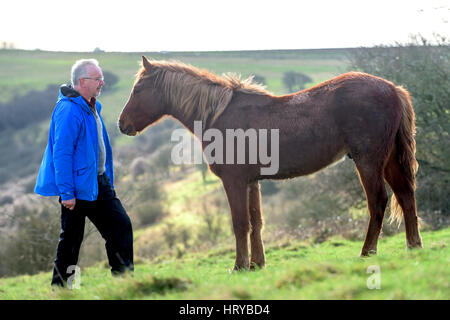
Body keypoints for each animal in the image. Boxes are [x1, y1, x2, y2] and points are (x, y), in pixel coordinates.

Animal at [118, 56, 422, 268]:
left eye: (138, 89)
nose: (123, 124)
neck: (218, 115)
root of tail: (393, 89)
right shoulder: (252, 182)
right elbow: (256, 222)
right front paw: (257, 263)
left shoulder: (234, 182)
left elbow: (240, 223)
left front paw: (239, 265)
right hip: (389, 160)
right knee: (406, 195)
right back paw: (413, 246)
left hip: (368, 161)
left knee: (378, 201)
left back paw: (367, 251)